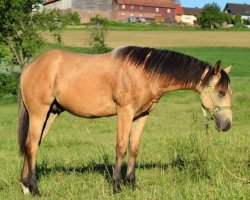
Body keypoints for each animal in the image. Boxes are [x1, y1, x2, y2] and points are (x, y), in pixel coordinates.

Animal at [18, 45, 232, 195]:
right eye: (221, 92)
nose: (227, 125)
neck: (144, 73)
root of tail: (29, 67)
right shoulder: (125, 112)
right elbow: (121, 147)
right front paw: (116, 186)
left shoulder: (142, 116)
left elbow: (134, 148)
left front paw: (132, 183)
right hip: (38, 113)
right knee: (32, 146)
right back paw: (35, 188)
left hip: (51, 114)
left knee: (31, 145)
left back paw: (25, 186)